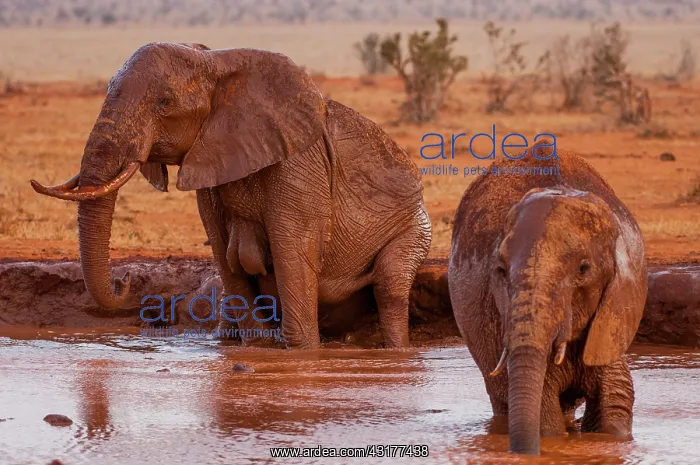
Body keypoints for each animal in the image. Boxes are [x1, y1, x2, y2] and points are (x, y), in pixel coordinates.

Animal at [30, 42, 432, 349]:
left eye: (164, 103)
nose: (124, 279)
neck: (217, 62)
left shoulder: (298, 166)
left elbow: (294, 256)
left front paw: (302, 354)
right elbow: (228, 263)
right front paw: (258, 348)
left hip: (414, 226)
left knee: (391, 286)